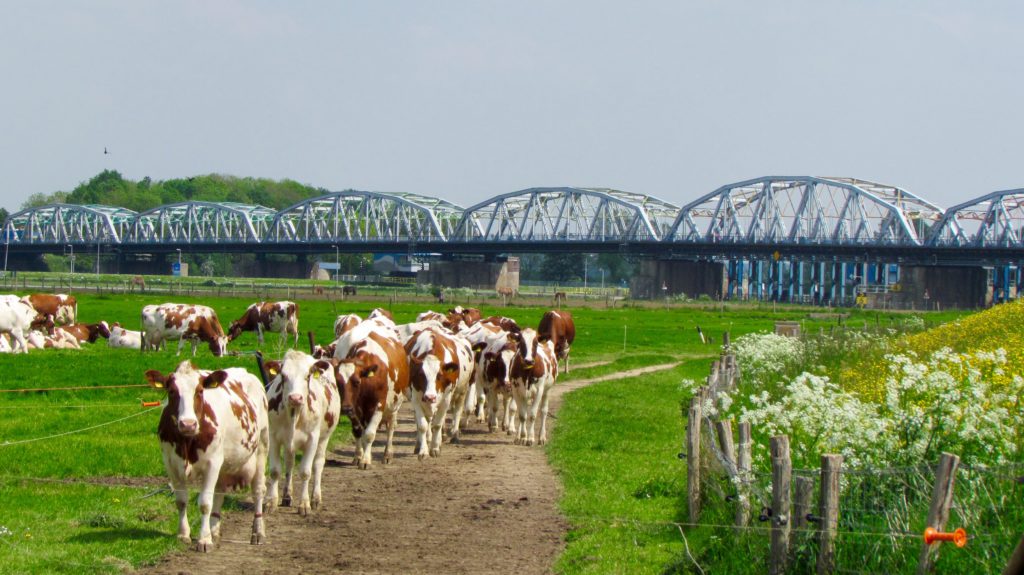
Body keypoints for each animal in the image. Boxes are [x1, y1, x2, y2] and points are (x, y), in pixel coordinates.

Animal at [262, 349, 342, 515]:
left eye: (308, 376)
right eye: (283, 376)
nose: (295, 397)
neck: (294, 413)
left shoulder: (312, 439)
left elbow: (306, 472)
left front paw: (304, 504)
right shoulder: (273, 436)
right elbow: (275, 470)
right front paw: (270, 501)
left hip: (323, 439)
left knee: (318, 464)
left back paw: (316, 498)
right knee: (289, 463)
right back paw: (287, 496)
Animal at [329, 323, 405, 466]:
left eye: (357, 382)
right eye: (337, 382)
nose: (345, 408)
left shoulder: (379, 405)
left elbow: (369, 434)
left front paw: (365, 460)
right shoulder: (354, 408)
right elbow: (359, 431)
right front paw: (359, 456)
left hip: (394, 405)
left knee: (390, 427)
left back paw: (387, 454)